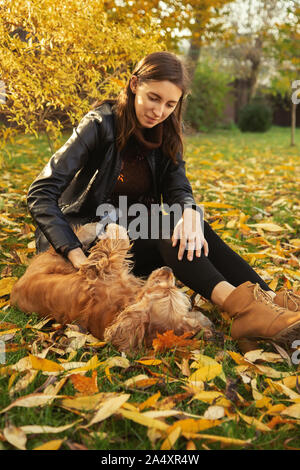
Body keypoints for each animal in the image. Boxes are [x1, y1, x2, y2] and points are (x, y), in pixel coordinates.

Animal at [10, 222, 213, 350]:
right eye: (165, 289)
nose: (168, 269)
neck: (125, 303)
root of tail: (15, 290)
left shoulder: (99, 270)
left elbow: (115, 248)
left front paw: (115, 228)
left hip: (54, 260)